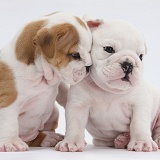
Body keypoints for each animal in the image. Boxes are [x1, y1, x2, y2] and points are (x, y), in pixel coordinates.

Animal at [0, 11, 92, 151]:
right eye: (75, 55)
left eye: (90, 51)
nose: (89, 66)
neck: (40, 72)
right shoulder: (8, 102)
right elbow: (8, 123)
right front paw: (11, 141)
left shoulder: (58, 83)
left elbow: (64, 92)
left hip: (54, 112)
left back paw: (48, 137)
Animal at [55, 19, 160, 152]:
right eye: (109, 49)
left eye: (140, 56)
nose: (128, 64)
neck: (109, 91)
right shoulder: (78, 105)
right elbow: (75, 124)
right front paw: (71, 142)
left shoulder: (140, 104)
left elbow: (138, 123)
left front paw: (141, 142)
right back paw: (123, 139)